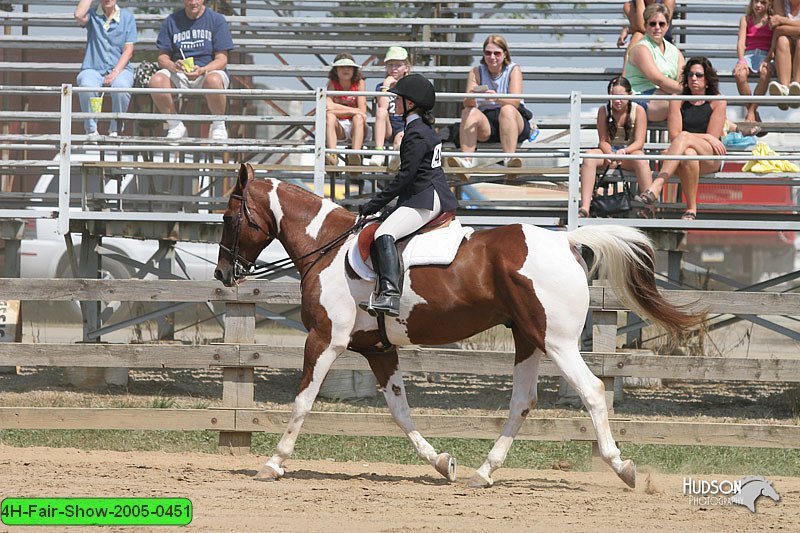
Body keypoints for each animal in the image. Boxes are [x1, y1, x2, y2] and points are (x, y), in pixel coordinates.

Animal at [216, 163, 704, 490]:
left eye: (227, 217)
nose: (223, 274)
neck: (327, 246)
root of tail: (566, 240)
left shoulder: (324, 340)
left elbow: (302, 402)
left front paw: (273, 463)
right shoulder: (378, 348)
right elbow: (400, 410)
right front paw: (441, 463)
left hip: (558, 342)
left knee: (592, 391)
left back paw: (622, 468)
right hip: (528, 339)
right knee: (522, 401)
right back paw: (483, 473)